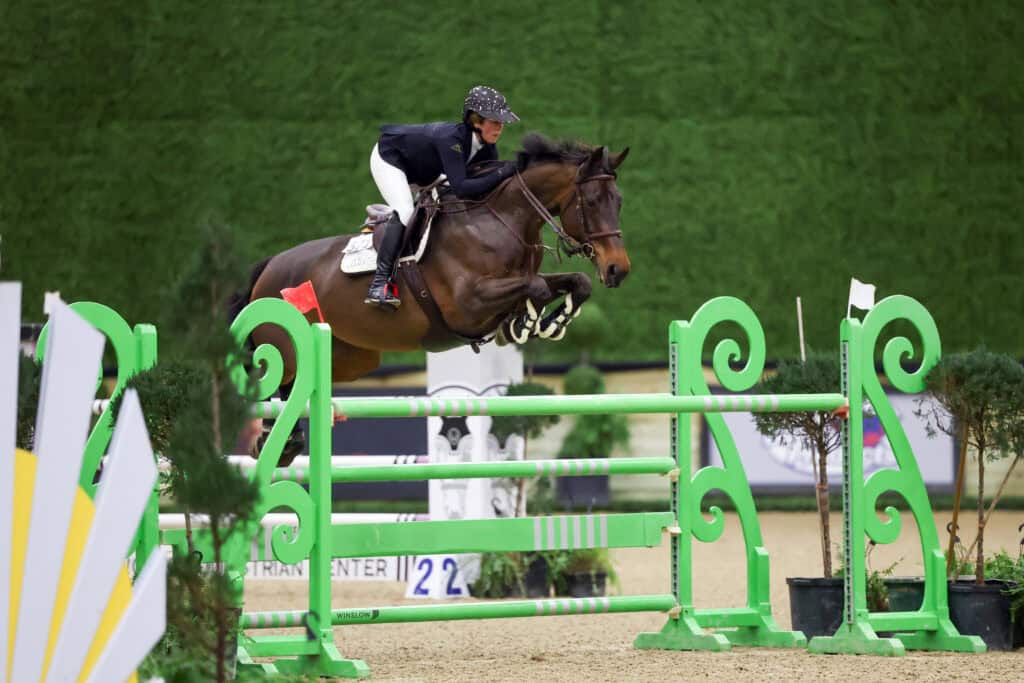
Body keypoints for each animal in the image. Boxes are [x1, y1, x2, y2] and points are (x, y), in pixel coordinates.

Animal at [231, 133, 631, 463]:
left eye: (619, 202)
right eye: (592, 201)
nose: (618, 270)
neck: (500, 220)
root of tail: (269, 266)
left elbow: (576, 282)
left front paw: (546, 322)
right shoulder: (469, 304)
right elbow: (537, 288)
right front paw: (526, 323)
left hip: (352, 358)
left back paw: (283, 442)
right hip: (285, 346)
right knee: (273, 380)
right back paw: (278, 441)